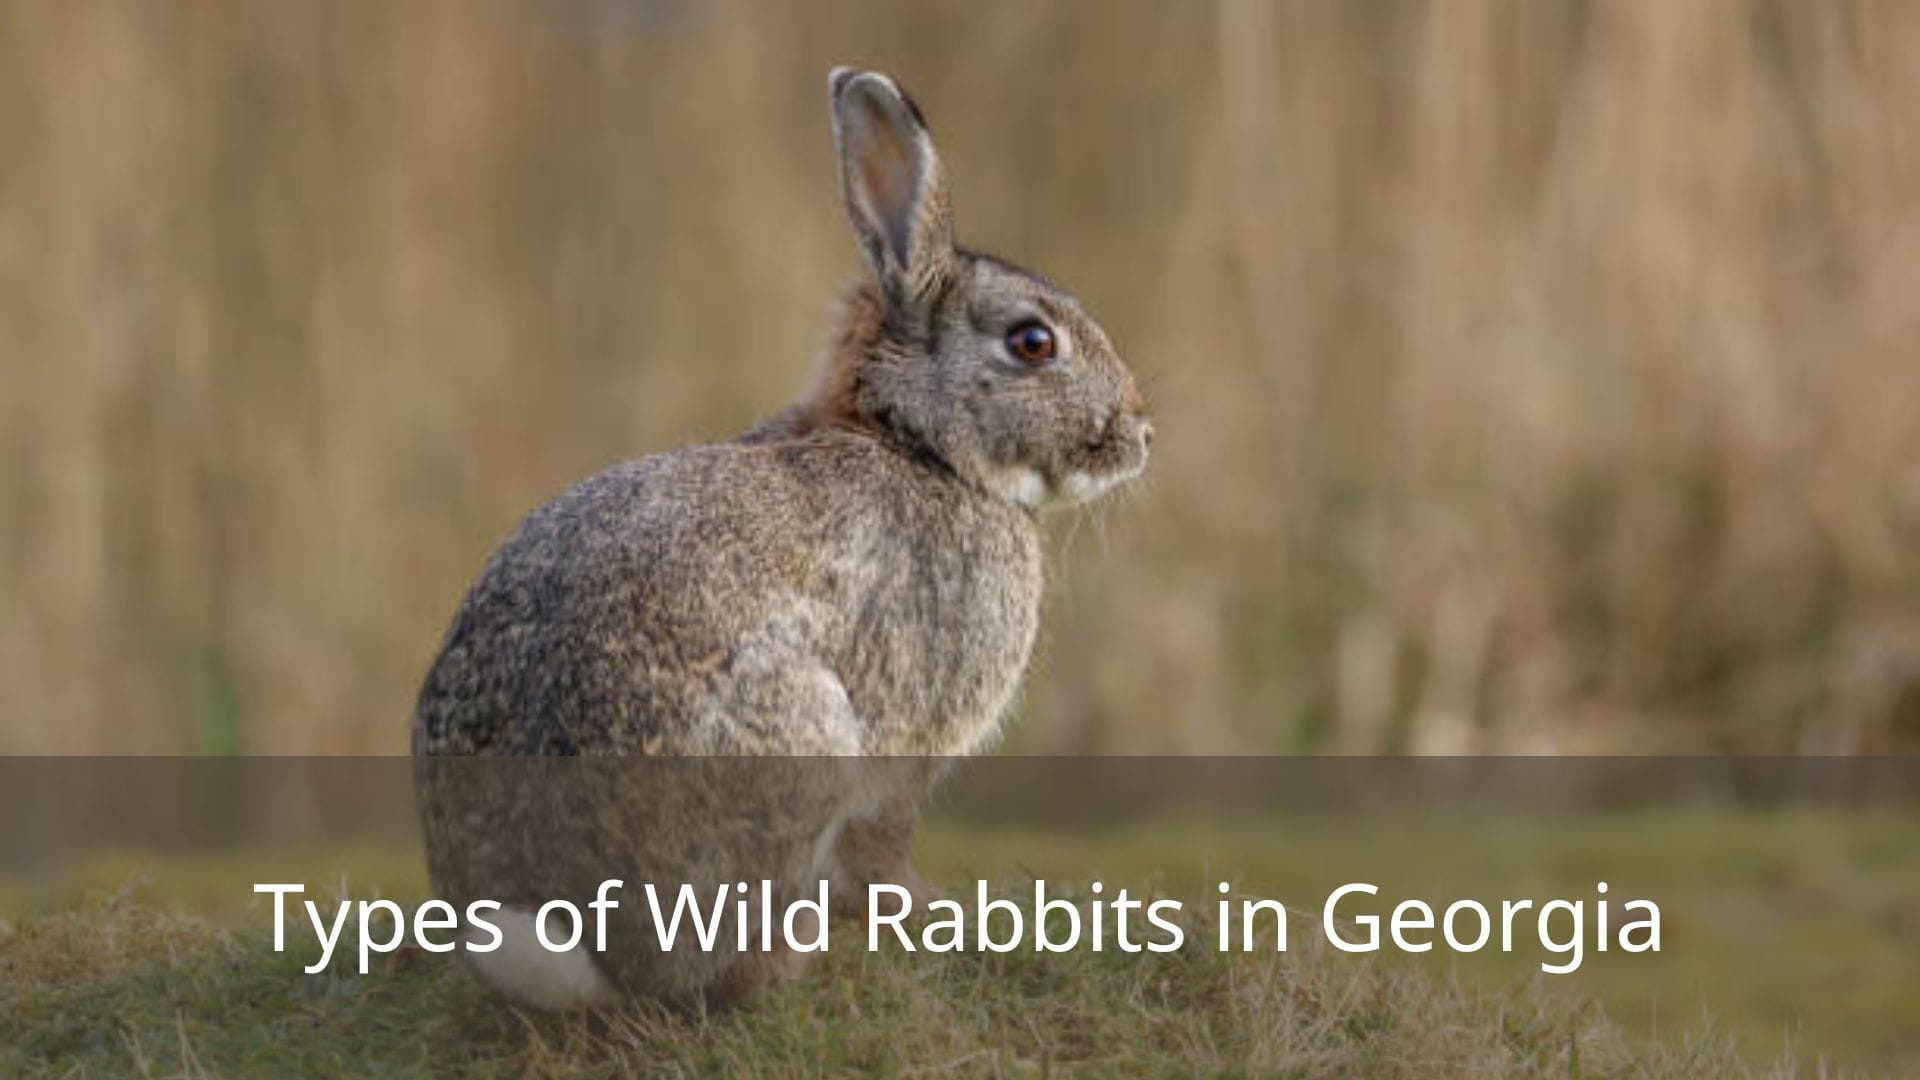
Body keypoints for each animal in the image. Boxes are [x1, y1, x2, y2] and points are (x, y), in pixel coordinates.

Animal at [412, 67, 1152, 1009]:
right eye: (1032, 342)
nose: (1140, 434)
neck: (918, 442)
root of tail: (560, 934)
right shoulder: (909, 746)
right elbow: (883, 848)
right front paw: (932, 912)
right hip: (804, 740)